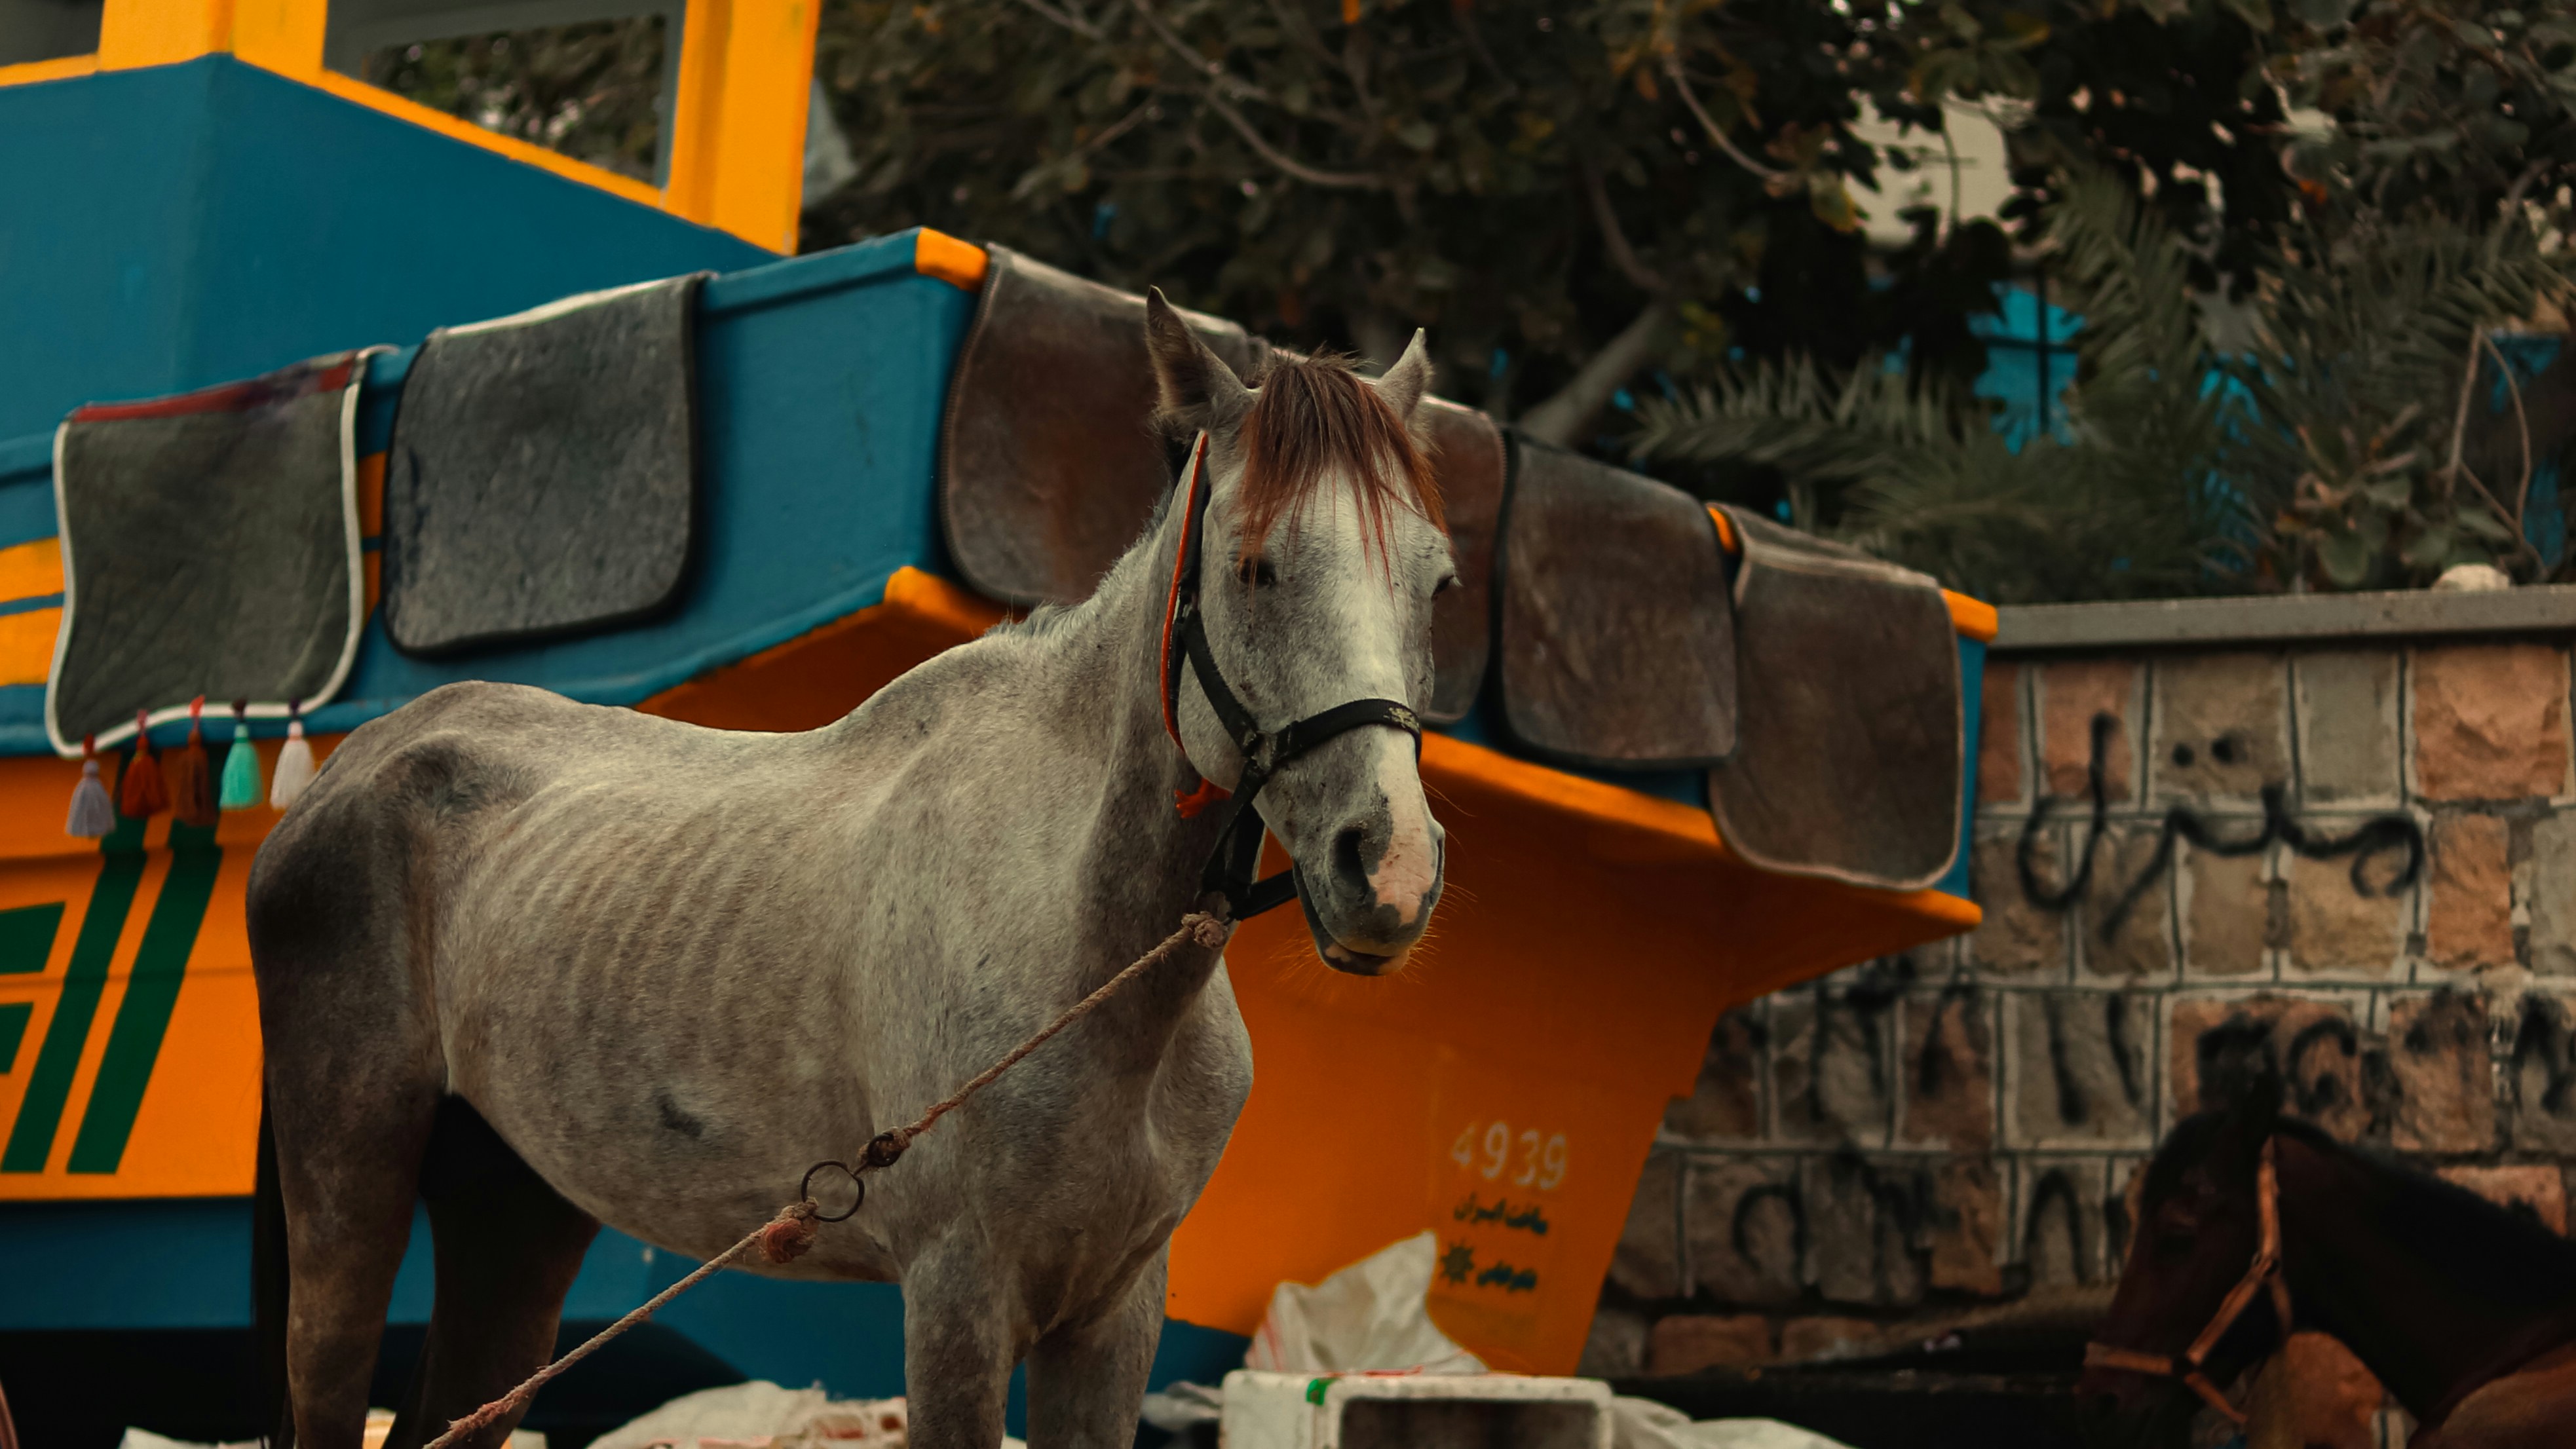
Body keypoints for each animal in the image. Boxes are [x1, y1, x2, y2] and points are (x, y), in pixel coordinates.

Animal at [245, 292, 1458, 1449]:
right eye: (1254, 567)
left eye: (1440, 584)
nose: (1389, 867)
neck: (1084, 954)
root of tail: (361, 761)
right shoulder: (958, 1297)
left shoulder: (1112, 1317)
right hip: (350, 1186)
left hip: (517, 1210)